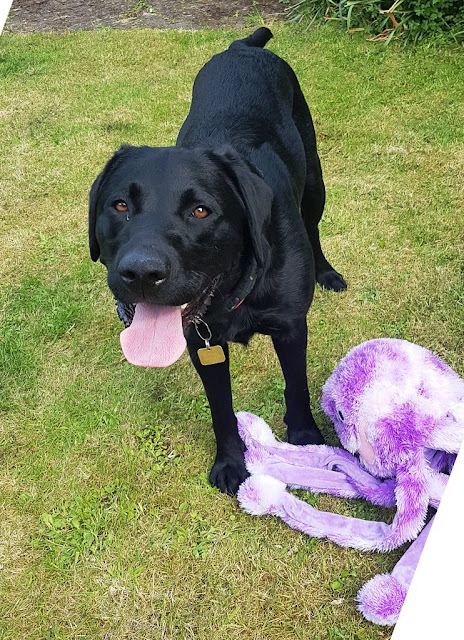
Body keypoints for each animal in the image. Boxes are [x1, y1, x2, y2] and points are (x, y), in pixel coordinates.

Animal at [89, 27, 346, 496]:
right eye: (119, 206)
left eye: (201, 211)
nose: (141, 273)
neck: (235, 291)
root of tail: (241, 46)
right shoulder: (201, 344)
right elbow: (221, 409)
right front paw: (230, 463)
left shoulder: (290, 327)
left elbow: (296, 387)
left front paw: (305, 441)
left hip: (315, 178)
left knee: (315, 223)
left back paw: (328, 272)